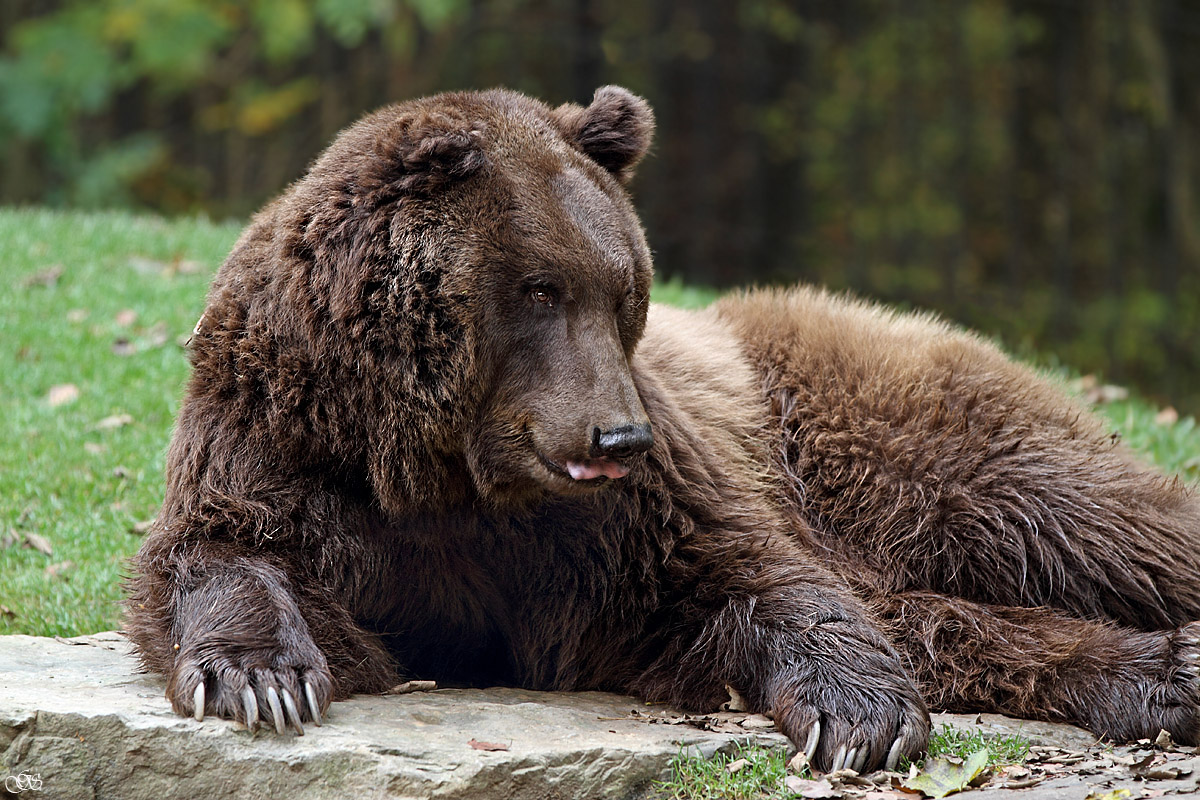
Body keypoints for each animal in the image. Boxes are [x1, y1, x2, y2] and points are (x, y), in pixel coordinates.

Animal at [124, 84, 1200, 772]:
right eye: (540, 287)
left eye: (624, 288)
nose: (617, 439)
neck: (438, 467)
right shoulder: (290, 438)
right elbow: (226, 547)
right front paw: (262, 678)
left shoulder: (626, 514)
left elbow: (735, 577)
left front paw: (862, 715)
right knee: (947, 610)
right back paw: (1164, 675)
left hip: (874, 430)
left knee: (1083, 517)